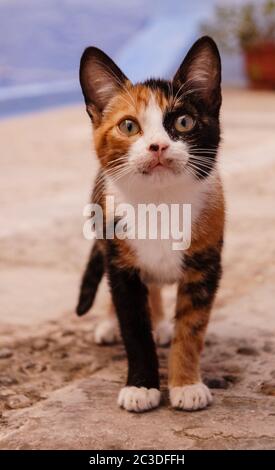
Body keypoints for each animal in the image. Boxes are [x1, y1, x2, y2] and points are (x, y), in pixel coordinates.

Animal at [75, 35, 224, 412]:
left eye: (184, 122)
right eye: (129, 126)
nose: (157, 146)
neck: (159, 204)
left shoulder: (205, 267)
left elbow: (192, 328)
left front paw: (187, 384)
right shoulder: (121, 265)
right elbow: (134, 328)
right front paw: (142, 386)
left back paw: (161, 324)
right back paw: (113, 325)